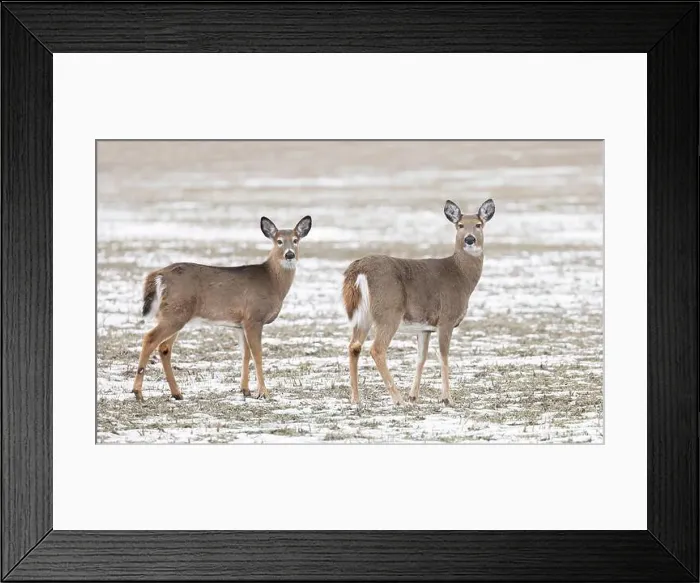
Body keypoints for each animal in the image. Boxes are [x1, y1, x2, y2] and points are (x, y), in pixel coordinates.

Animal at [131, 215, 312, 402]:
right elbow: (258, 355)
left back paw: (177, 393)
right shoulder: (254, 317)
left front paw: (245, 390)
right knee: (150, 338)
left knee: (164, 347)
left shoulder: (240, 324)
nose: (289, 254)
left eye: (296, 240)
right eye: (279, 241)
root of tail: (159, 275)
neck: (272, 282)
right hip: (176, 312)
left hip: (174, 313)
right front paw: (263, 392)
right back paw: (138, 392)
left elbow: (245, 354)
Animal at [342, 199, 495, 406]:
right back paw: (397, 399)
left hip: (363, 315)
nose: (469, 239)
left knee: (354, 346)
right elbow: (443, 356)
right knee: (377, 349)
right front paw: (446, 398)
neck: (461, 276)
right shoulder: (446, 318)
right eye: (460, 225)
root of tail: (358, 269)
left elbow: (421, 357)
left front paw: (413, 396)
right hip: (389, 310)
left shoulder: (425, 326)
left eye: (479, 224)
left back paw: (356, 399)